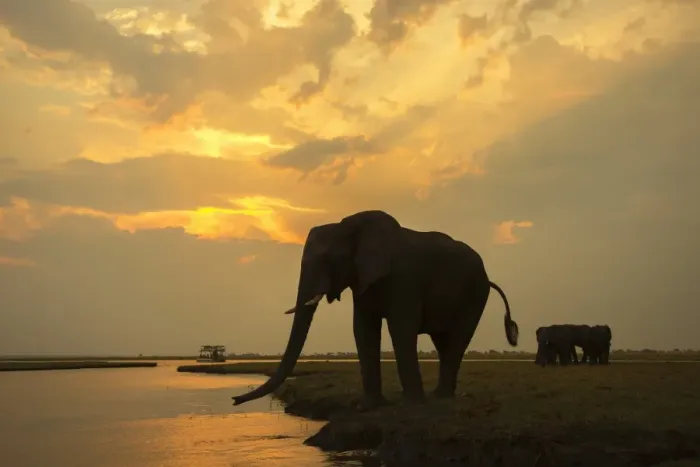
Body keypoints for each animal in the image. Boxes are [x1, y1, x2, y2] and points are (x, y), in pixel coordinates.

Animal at [231, 210, 519, 410]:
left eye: (326, 259)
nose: (233, 399)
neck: (349, 226)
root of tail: (488, 277)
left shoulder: (403, 277)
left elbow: (401, 328)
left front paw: (412, 406)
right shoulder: (363, 279)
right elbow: (363, 329)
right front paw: (368, 407)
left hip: (475, 293)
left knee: (458, 338)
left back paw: (438, 398)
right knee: (444, 341)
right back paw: (441, 397)